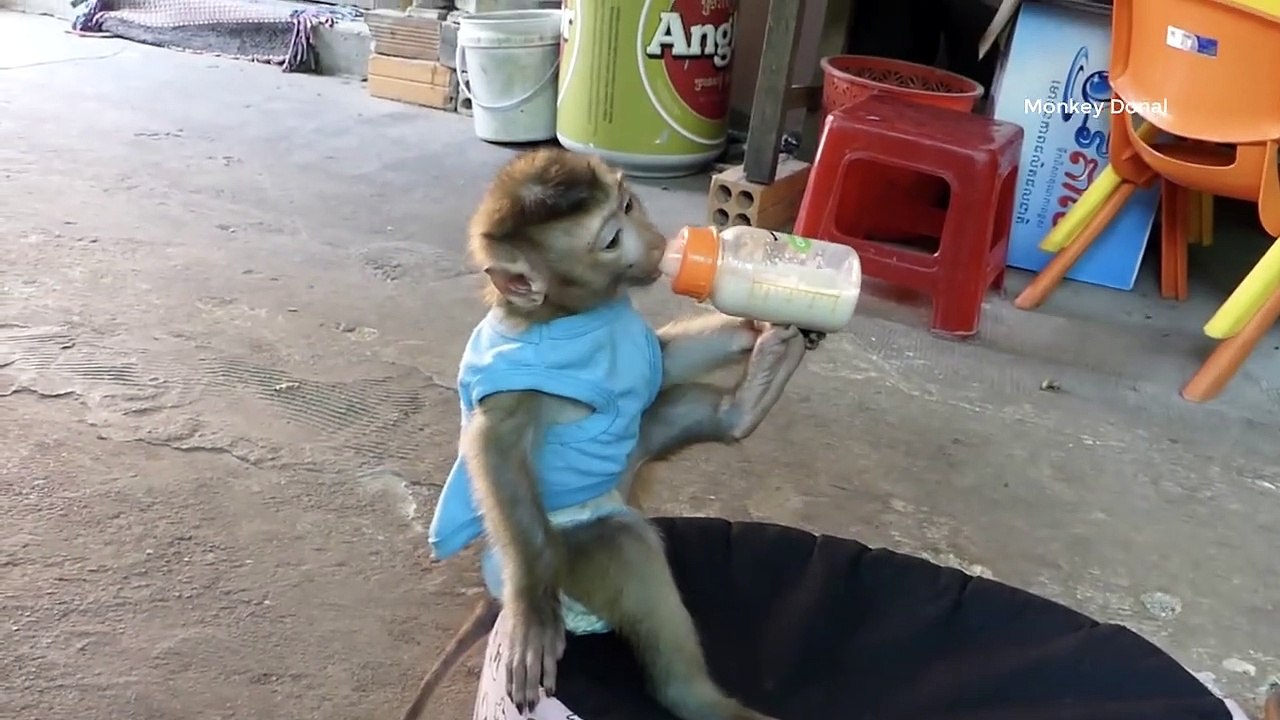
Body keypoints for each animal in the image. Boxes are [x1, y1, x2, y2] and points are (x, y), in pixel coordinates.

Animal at [410, 148, 811, 720]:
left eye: (627, 204)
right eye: (611, 240)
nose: (659, 243)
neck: (571, 314)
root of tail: (492, 593)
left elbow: (661, 366)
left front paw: (755, 323)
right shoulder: (514, 380)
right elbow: (495, 447)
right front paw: (533, 611)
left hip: (630, 469)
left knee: (651, 415)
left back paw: (748, 401)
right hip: (575, 556)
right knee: (624, 545)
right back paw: (695, 697)